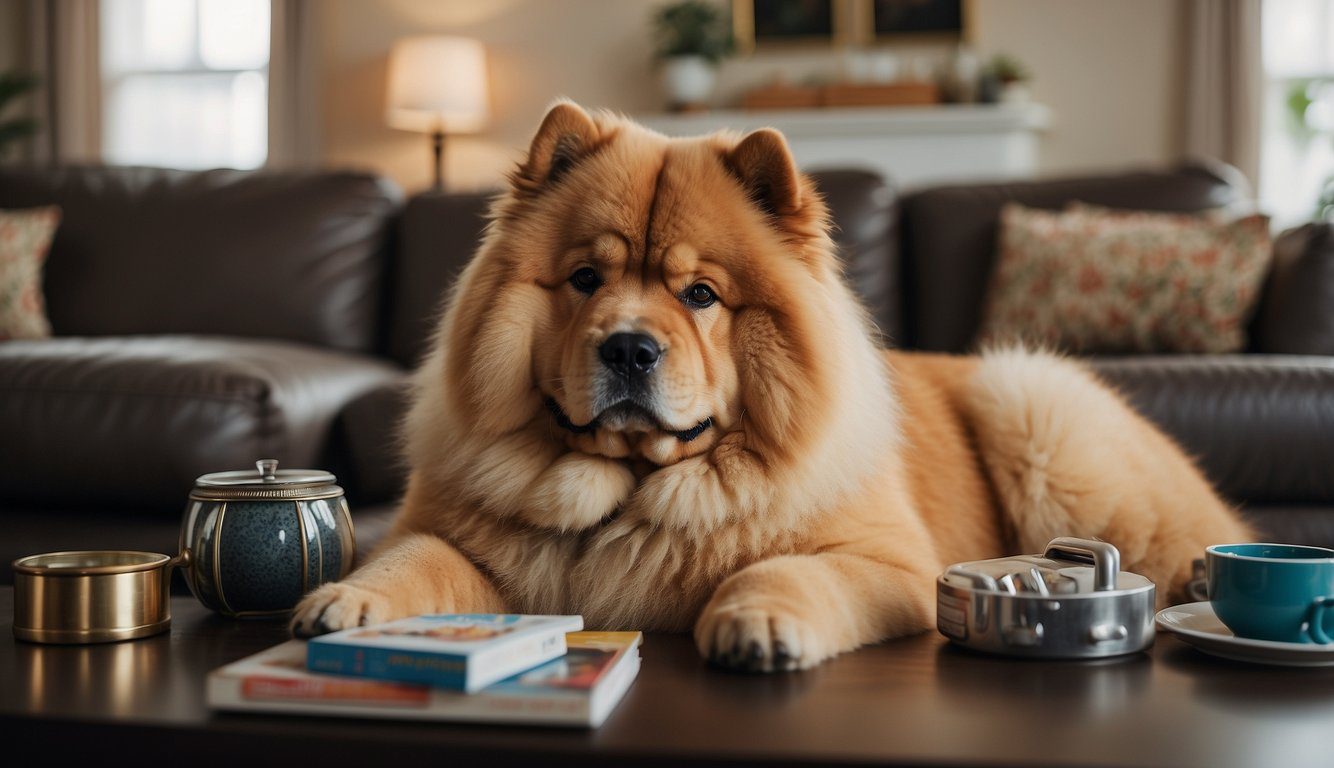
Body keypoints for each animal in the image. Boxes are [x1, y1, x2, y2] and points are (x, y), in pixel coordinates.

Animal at [289, 103, 1248, 672]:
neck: (631, 489)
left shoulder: (891, 567)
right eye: (586, 281)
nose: (628, 348)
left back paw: (1202, 574)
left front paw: (756, 624)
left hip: (1036, 408)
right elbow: (414, 559)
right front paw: (346, 604)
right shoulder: (454, 540)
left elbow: (786, 569)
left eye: (700, 295)